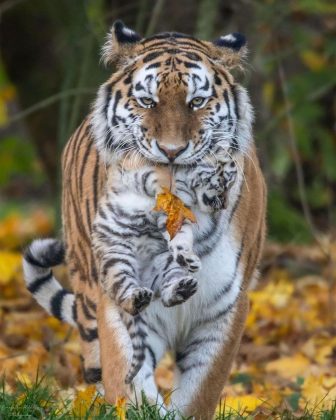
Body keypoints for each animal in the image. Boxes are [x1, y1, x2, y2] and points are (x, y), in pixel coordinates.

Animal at [22, 20, 266, 420]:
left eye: (196, 102)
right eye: (147, 101)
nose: (171, 151)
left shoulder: (225, 307)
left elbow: (199, 392)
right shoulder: (119, 300)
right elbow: (129, 382)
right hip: (88, 293)